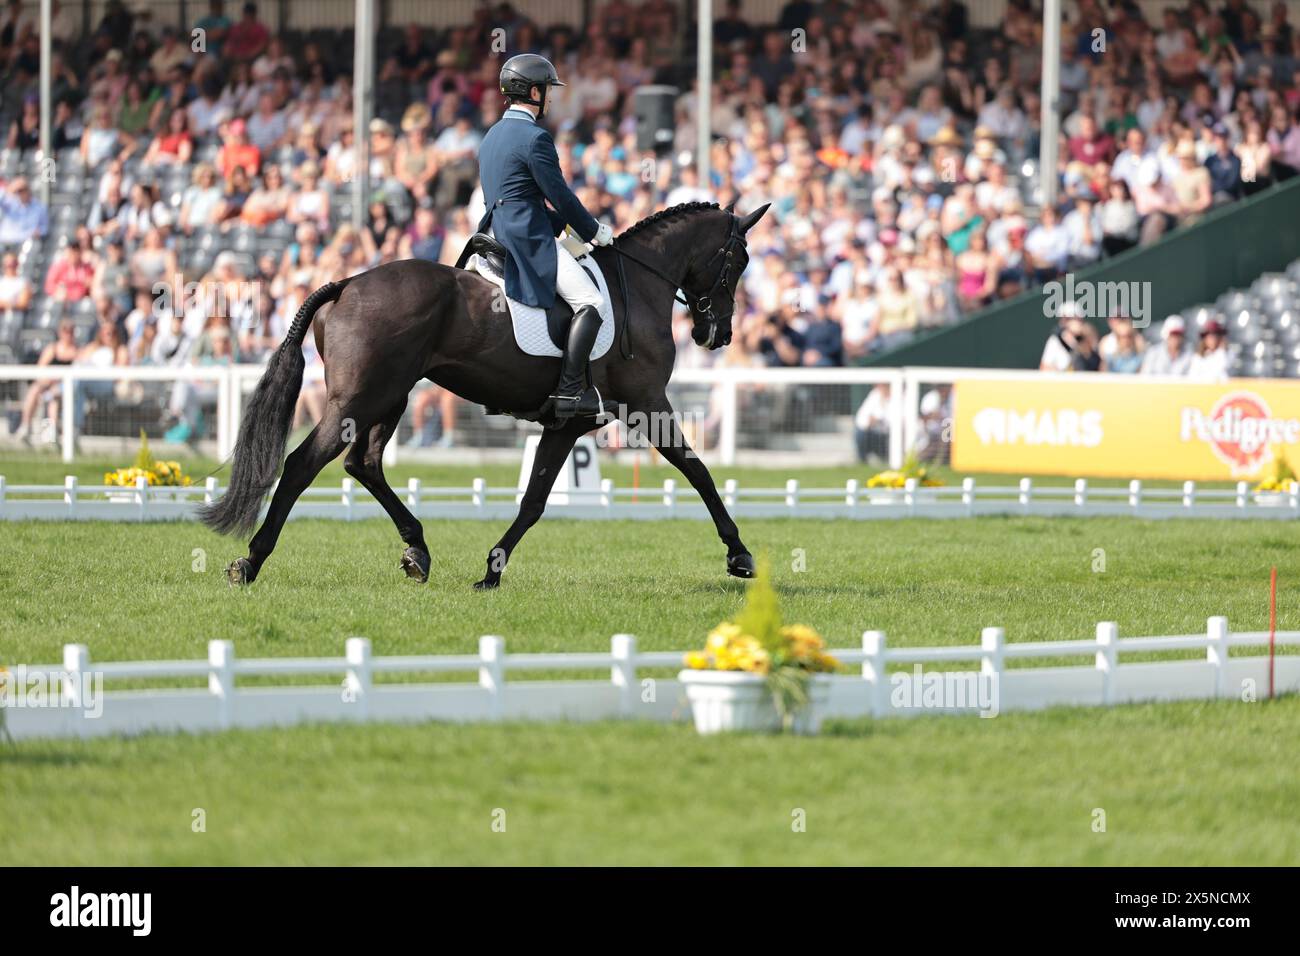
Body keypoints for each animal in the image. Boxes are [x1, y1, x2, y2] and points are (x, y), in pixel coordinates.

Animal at [201, 201, 764, 587]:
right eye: (737, 261)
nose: (718, 335)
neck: (639, 288)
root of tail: (349, 282)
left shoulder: (568, 423)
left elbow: (535, 500)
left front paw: (492, 571)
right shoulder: (647, 404)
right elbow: (697, 470)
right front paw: (739, 555)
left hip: (390, 396)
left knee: (364, 464)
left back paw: (417, 551)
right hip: (357, 400)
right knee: (303, 464)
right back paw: (251, 561)